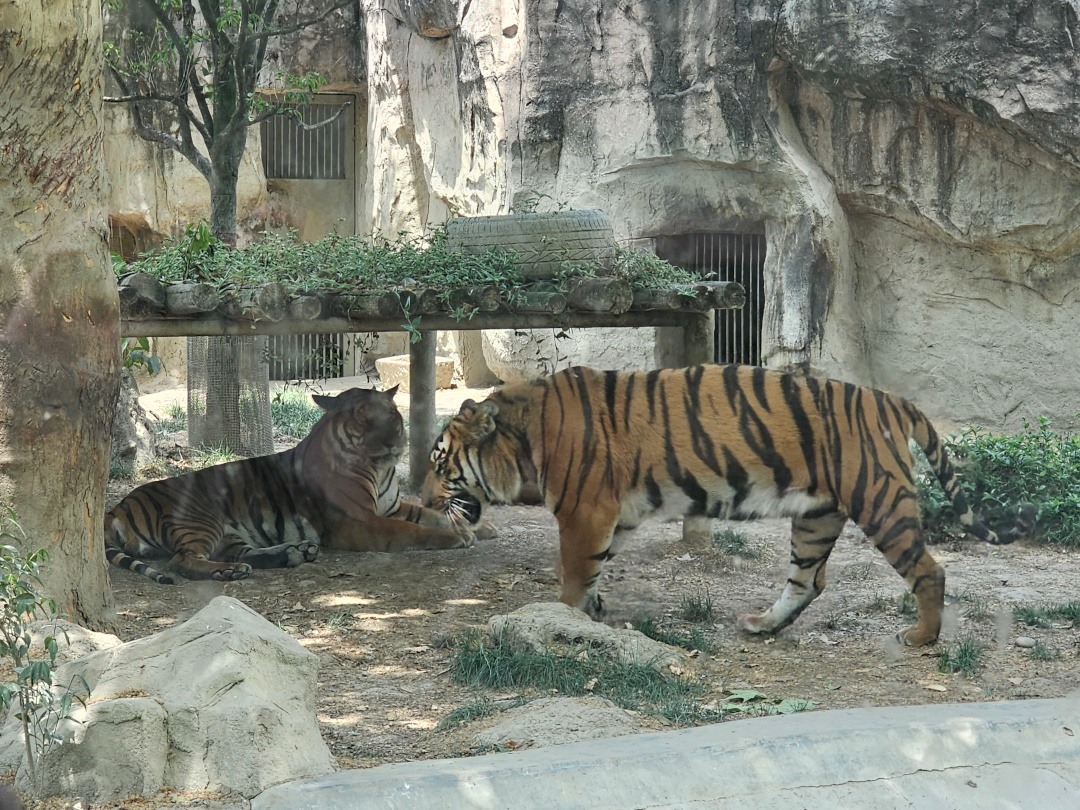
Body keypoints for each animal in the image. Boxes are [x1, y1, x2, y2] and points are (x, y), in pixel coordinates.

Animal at [106, 385, 477, 584]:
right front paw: (458, 538)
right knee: (180, 561)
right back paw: (232, 572)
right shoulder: (361, 522)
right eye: (361, 419)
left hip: (228, 533)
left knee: (242, 553)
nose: (392, 441)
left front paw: (474, 528)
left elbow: (432, 515)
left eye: (391, 415)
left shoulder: (394, 507)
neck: (381, 468)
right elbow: (413, 531)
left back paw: (293, 553)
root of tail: (118, 505)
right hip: (201, 520)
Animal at [423, 364, 1019, 647]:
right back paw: (763, 626)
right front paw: (593, 615)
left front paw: (561, 620)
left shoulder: (585, 512)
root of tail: (890, 399)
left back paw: (921, 637)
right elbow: (589, 573)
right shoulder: (613, 517)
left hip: (880, 500)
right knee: (809, 579)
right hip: (817, 515)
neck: (524, 439)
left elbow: (571, 575)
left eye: (440, 465)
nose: (423, 503)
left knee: (929, 570)